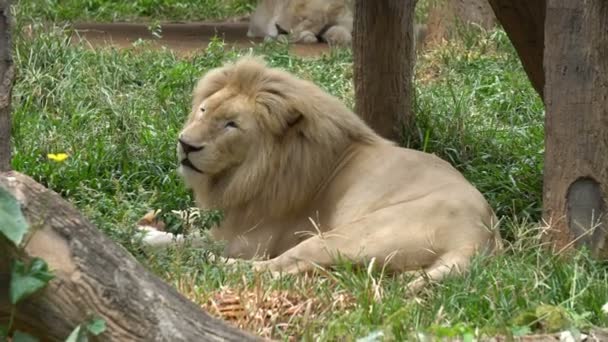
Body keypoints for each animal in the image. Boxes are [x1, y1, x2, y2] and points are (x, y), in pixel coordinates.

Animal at [152, 57, 504, 292]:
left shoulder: (246, 239)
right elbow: (184, 213)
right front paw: (153, 217)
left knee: (265, 268)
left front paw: (151, 235)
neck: (244, 174)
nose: (185, 144)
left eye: (231, 125)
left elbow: (191, 240)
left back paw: (208, 264)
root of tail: (481, 235)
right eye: (203, 110)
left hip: (346, 235)